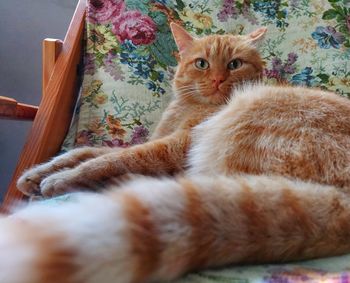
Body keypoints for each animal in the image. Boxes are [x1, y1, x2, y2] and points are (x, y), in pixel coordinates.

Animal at [2, 24, 350, 283]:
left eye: (235, 64)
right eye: (202, 63)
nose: (218, 79)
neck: (188, 107)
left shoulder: (176, 144)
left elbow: (111, 158)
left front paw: (61, 179)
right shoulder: (156, 140)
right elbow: (86, 150)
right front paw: (38, 173)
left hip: (244, 120)